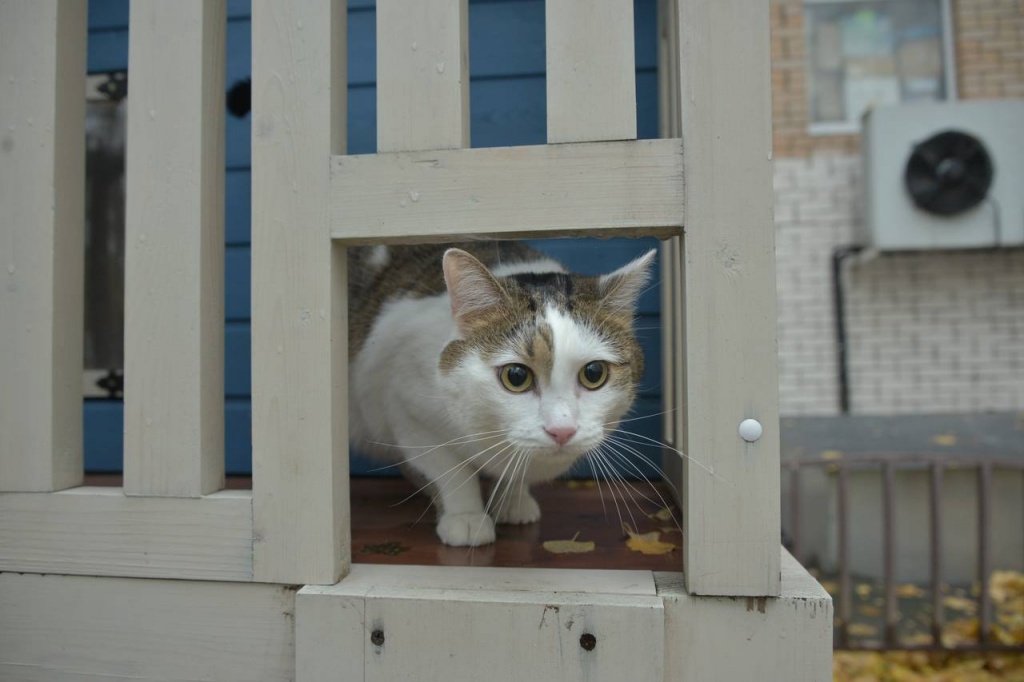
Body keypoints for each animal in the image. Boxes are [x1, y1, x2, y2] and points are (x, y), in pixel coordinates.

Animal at [350, 241, 655, 544]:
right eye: (516, 377)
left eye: (594, 373)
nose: (562, 430)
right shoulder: (405, 410)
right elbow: (450, 471)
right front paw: (466, 516)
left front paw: (513, 501)